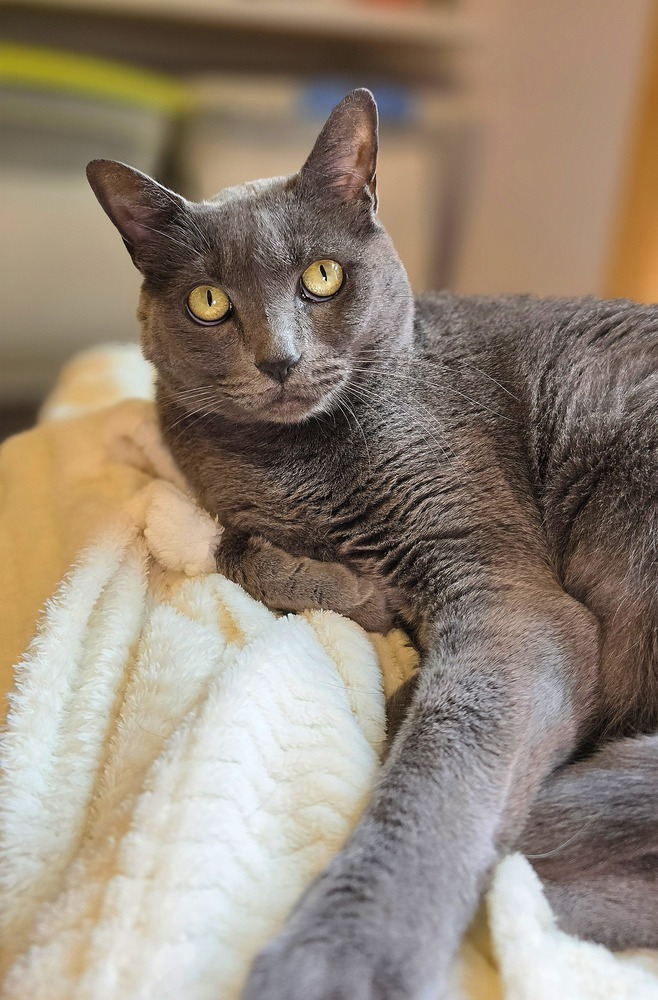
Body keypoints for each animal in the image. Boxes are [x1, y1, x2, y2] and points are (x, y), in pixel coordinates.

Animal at [87, 90, 656, 996]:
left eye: (322, 277)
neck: (297, 464)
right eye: (209, 301)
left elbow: (442, 769)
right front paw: (367, 594)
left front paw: (335, 959)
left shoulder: (500, 585)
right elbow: (237, 546)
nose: (280, 360)